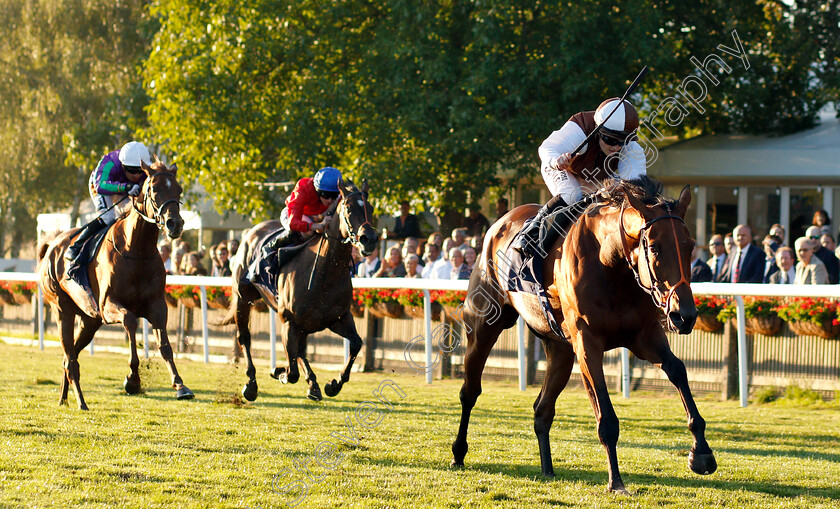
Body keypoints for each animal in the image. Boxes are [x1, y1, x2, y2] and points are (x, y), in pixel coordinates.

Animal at [39, 159, 192, 408]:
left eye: (178, 190)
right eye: (154, 189)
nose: (174, 224)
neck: (136, 250)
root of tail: (52, 245)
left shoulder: (157, 305)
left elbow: (165, 346)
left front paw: (180, 385)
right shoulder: (109, 305)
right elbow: (130, 322)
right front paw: (133, 380)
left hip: (90, 321)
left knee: (68, 357)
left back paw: (63, 399)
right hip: (62, 311)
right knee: (70, 359)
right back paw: (81, 402)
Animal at [225, 178, 378, 400]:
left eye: (371, 208)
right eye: (348, 209)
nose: (370, 239)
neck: (326, 272)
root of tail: (251, 232)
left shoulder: (338, 318)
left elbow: (356, 343)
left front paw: (334, 384)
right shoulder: (289, 322)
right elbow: (292, 371)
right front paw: (279, 371)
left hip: (306, 322)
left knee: (301, 350)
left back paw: (313, 385)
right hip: (243, 298)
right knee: (244, 337)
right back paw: (251, 384)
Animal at [452, 177, 716, 494]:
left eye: (690, 246)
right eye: (654, 248)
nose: (684, 315)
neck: (610, 264)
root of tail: (498, 224)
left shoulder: (645, 336)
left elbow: (677, 370)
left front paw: (702, 453)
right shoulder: (587, 343)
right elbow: (606, 417)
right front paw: (616, 481)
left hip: (560, 351)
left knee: (542, 410)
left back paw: (548, 469)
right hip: (484, 326)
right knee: (470, 391)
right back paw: (458, 453)